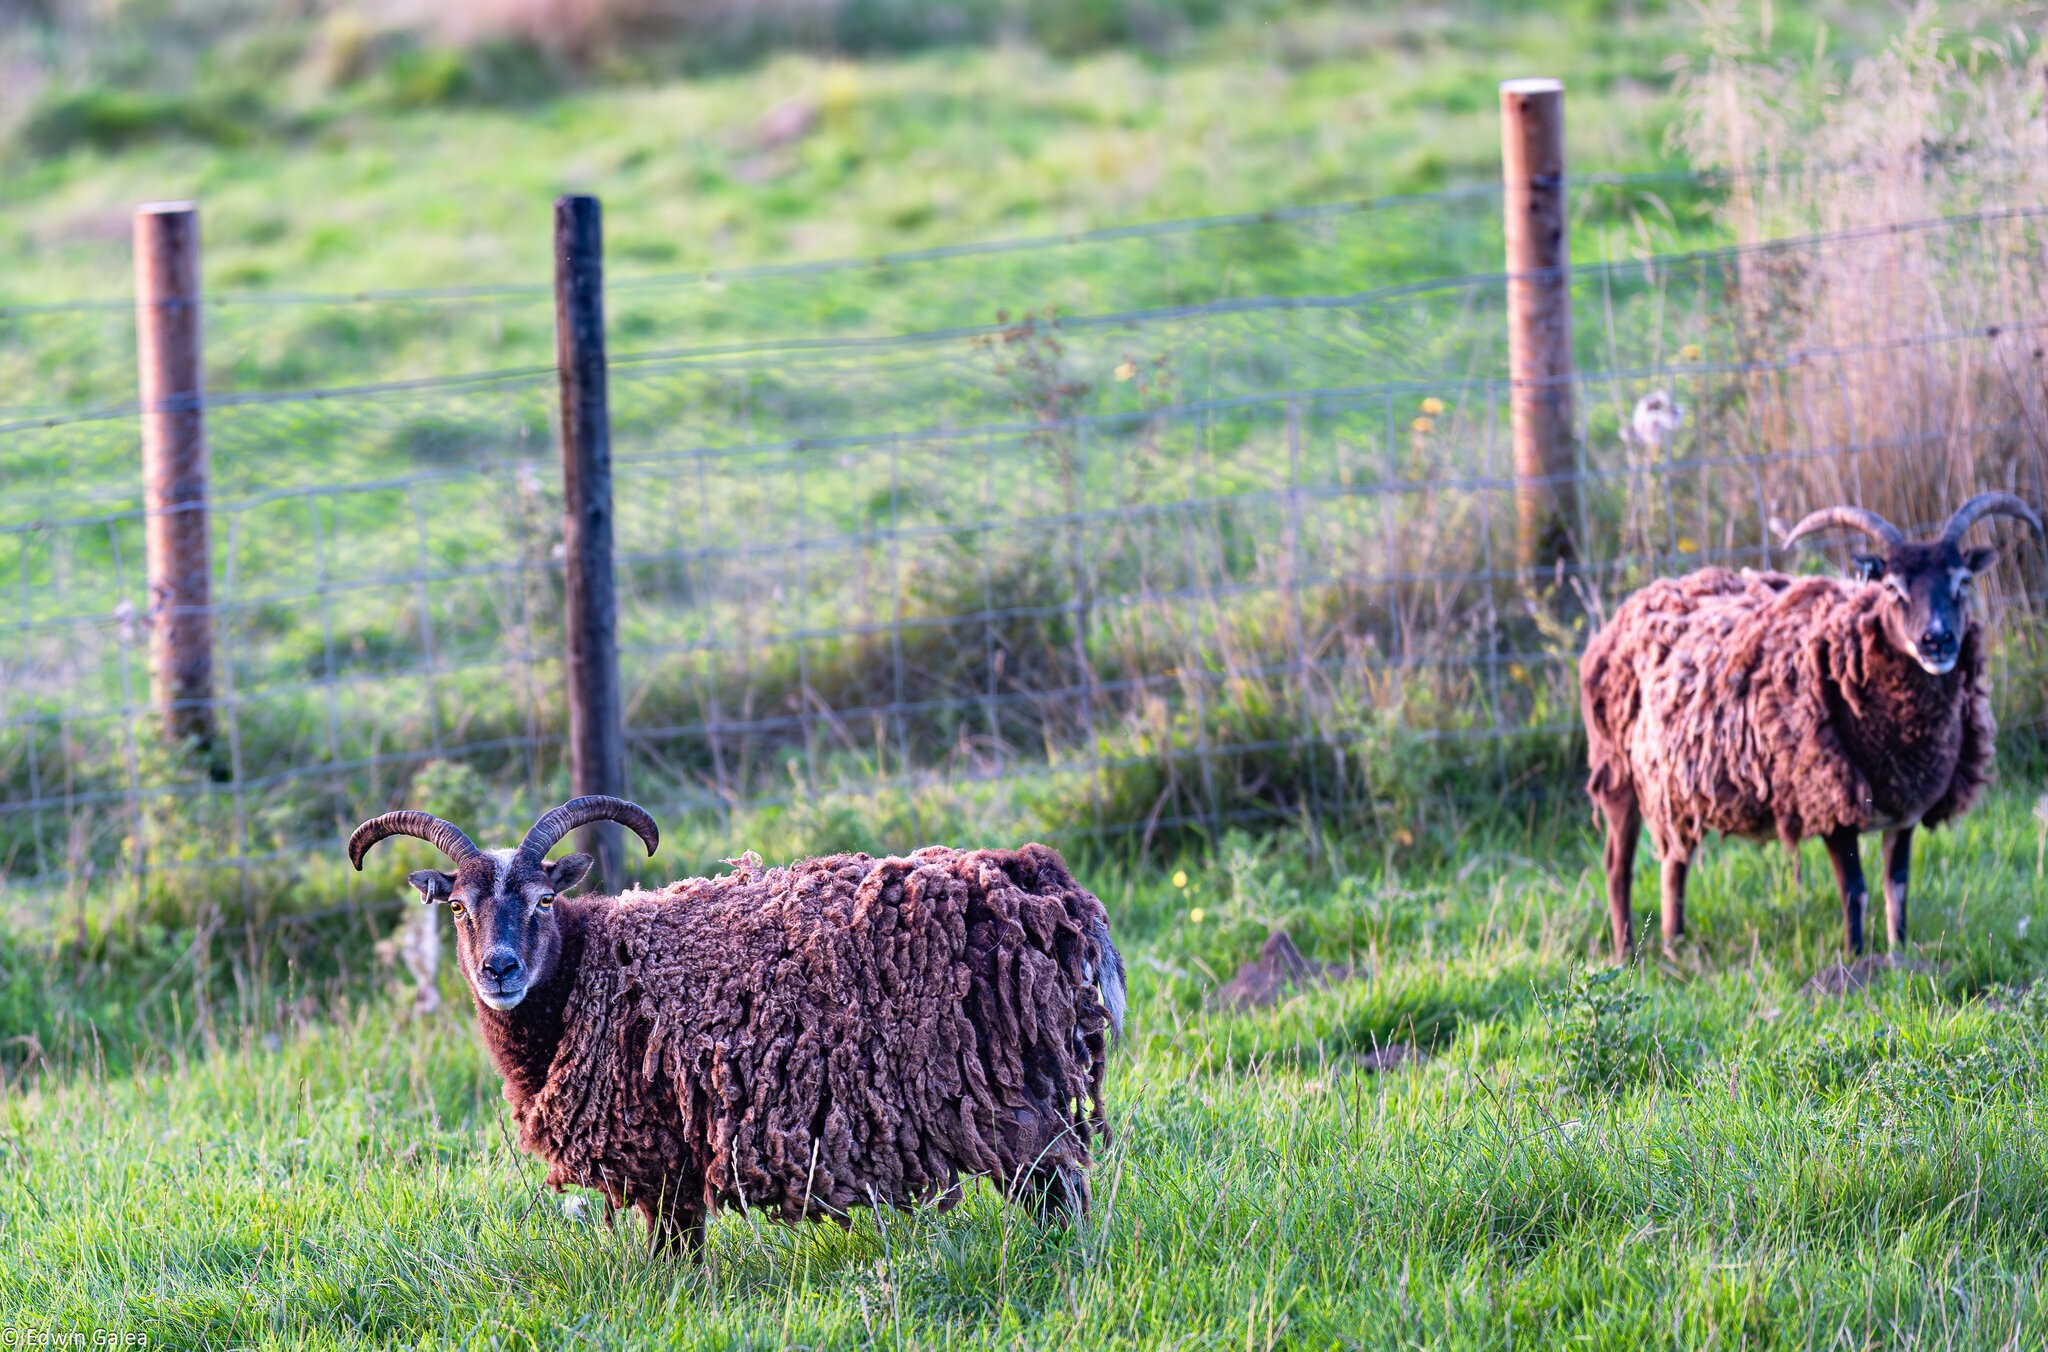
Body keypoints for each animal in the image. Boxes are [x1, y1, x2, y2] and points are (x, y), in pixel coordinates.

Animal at [344, 790, 1130, 1253]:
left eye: (542, 900)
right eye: (456, 907)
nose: (500, 969)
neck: (584, 972)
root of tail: (1036, 881)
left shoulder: (656, 1139)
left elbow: (674, 1244)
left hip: (1001, 1088)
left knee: (1058, 1180)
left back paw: (1062, 1259)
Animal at [1572, 495, 2039, 962]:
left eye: (1963, 582)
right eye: (1891, 588)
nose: (1937, 641)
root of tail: (1628, 608)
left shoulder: (1904, 810)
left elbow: (1897, 888)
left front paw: (1899, 953)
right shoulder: (1828, 800)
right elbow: (1855, 891)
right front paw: (1855, 960)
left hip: (1675, 786)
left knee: (1674, 860)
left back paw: (1676, 943)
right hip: (1617, 774)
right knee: (1617, 866)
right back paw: (1626, 951)